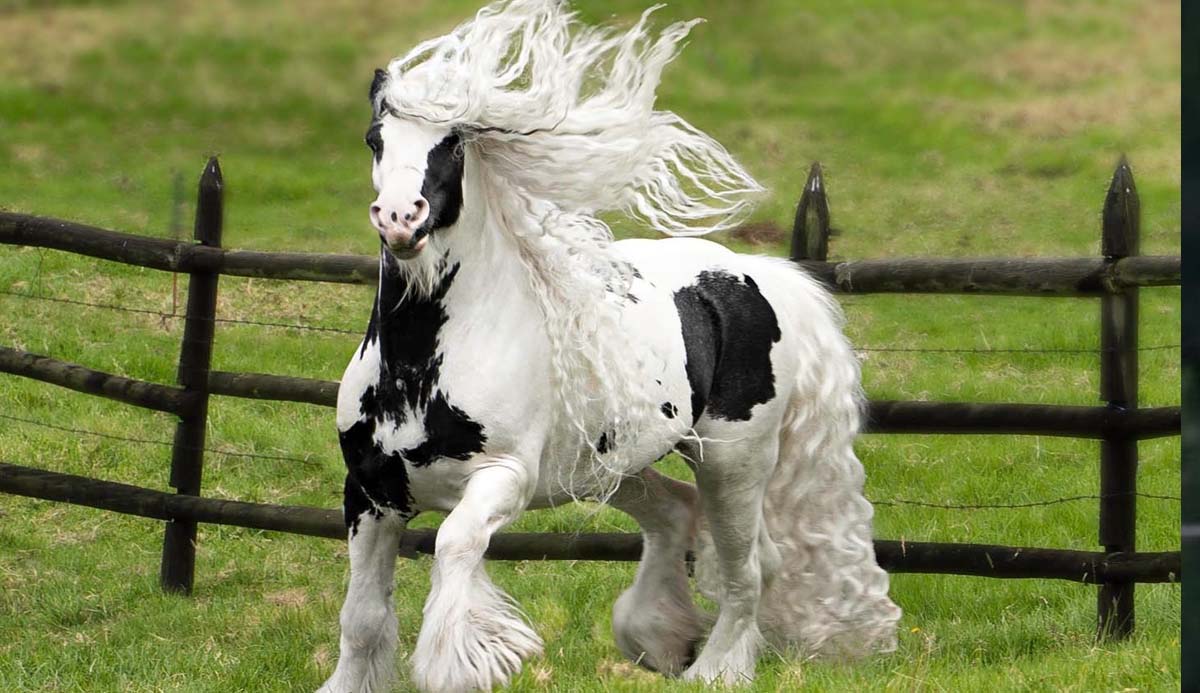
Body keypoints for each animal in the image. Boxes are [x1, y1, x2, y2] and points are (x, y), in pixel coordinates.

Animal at [319, 2, 902, 685]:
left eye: (453, 142)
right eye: (375, 139)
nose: (399, 220)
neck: (421, 366)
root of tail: (765, 276)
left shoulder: (502, 480)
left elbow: (452, 545)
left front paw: (473, 662)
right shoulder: (370, 493)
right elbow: (362, 619)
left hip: (734, 459)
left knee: (751, 569)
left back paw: (712, 671)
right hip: (614, 464)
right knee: (679, 514)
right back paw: (660, 637)